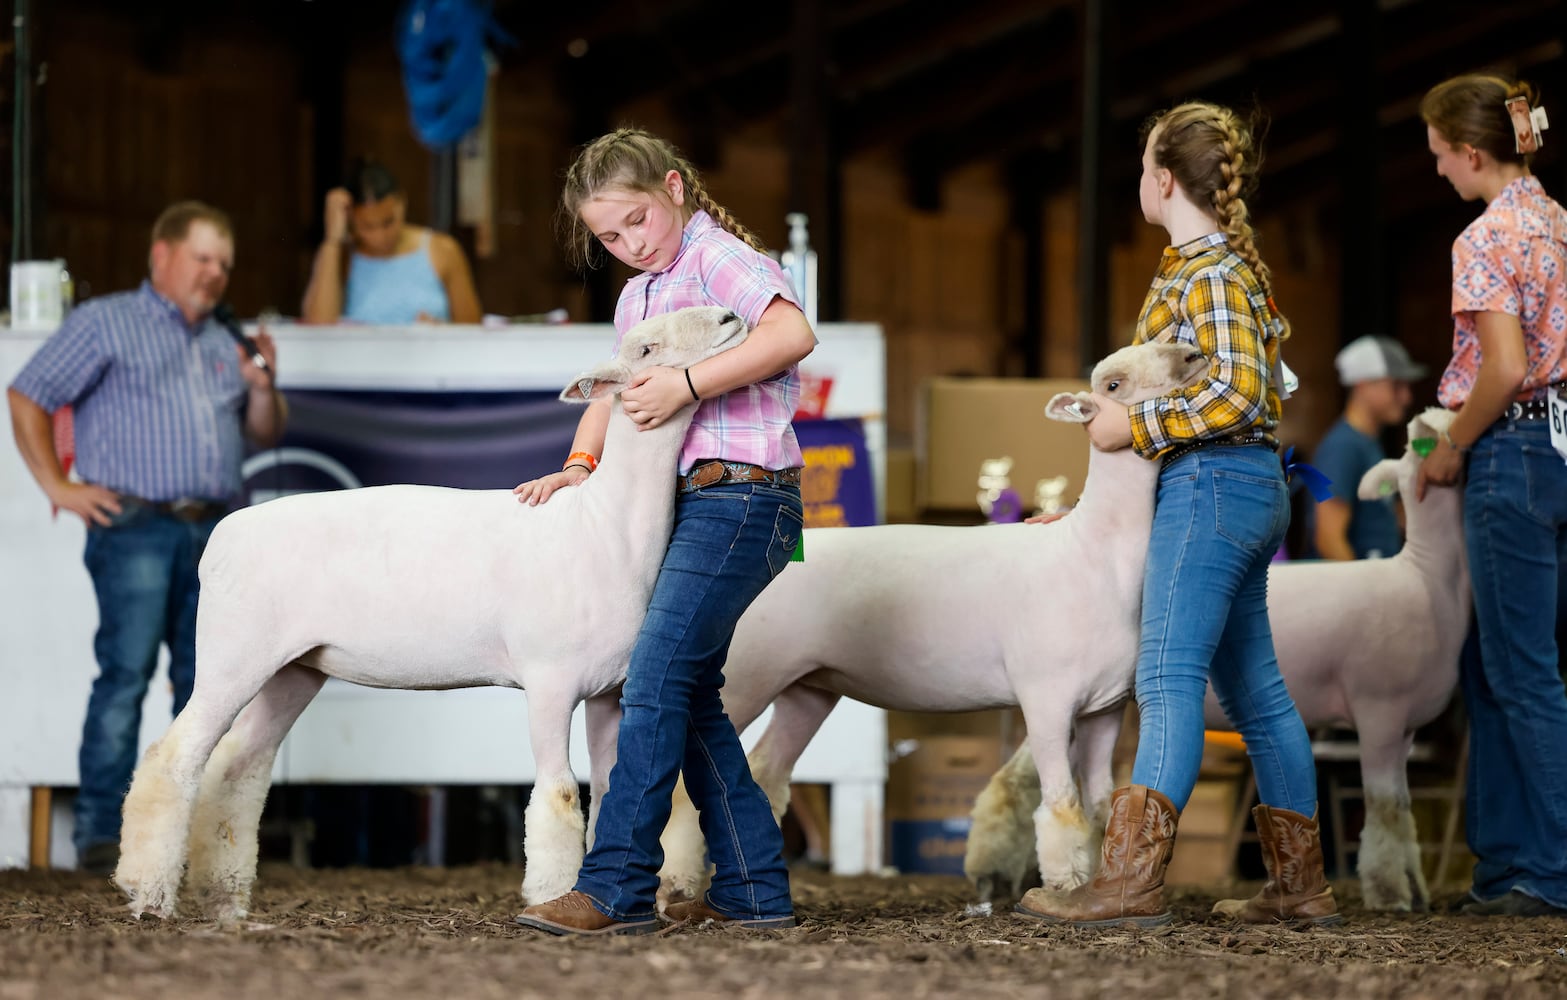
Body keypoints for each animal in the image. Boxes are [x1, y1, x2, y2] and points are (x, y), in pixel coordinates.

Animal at [110, 304, 745, 927]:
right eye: (644, 347)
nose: (731, 318)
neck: (603, 523)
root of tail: (222, 534)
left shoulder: (611, 689)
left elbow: (614, 790)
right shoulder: (549, 681)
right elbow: (560, 795)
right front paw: (549, 897)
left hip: (294, 668)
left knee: (237, 771)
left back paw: (227, 903)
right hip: (233, 653)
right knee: (175, 757)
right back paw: (148, 895)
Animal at [655, 341, 1203, 902]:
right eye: (1113, 384)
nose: (1191, 355)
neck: (1094, 551)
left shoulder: (1105, 708)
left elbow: (1096, 806)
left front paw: (1091, 884)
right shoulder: (1047, 699)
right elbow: (1062, 805)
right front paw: (1063, 885)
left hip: (808, 688)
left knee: (768, 770)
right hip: (746, 675)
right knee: (686, 788)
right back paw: (677, 884)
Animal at [965, 404, 1466, 915]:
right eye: (1436, 439)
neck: (1427, 579)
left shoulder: (1404, 730)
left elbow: (1402, 811)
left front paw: (1416, 889)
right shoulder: (1379, 712)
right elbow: (1384, 813)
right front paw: (1390, 895)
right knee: (1016, 783)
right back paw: (995, 877)